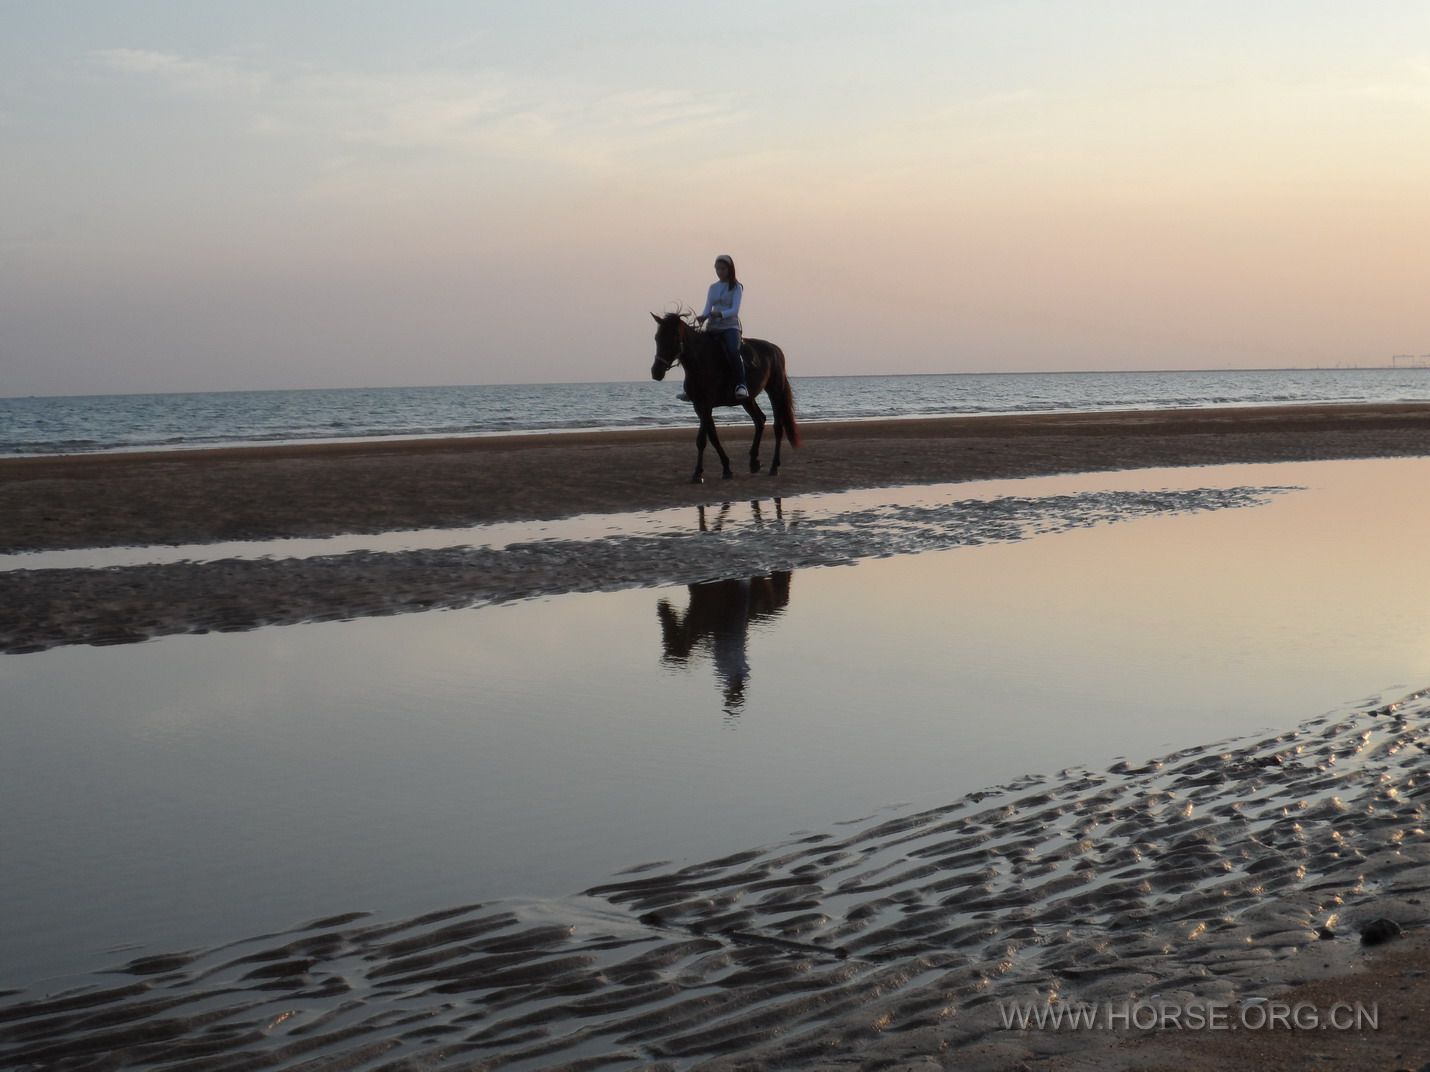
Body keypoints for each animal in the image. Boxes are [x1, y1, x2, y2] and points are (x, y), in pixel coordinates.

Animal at [652, 313, 800, 485]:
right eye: (657, 338)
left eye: (674, 338)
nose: (656, 372)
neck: (701, 360)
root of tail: (775, 349)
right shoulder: (699, 406)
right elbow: (713, 437)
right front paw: (726, 469)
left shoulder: (706, 405)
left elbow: (701, 440)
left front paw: (697, 474)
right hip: (747, 399)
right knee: (759, 420)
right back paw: (754, 462)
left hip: (775, 391)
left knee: (777, 427)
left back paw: (774, 467)